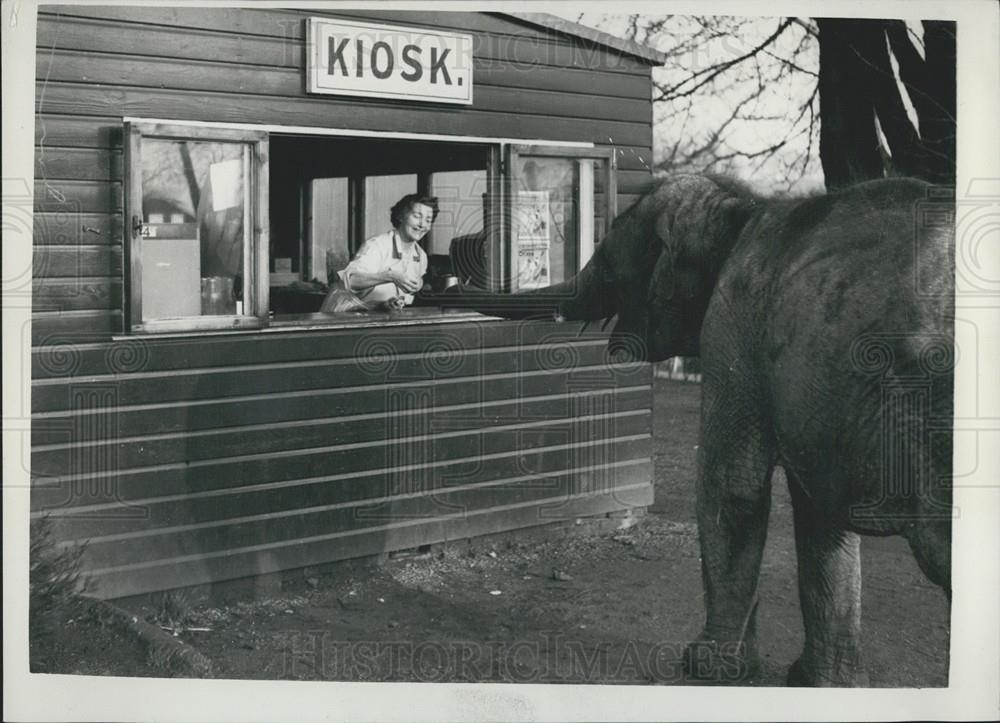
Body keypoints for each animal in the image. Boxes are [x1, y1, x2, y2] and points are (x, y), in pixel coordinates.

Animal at [444, 173, 952, 688]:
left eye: (609, 258)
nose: (448, 271)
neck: (740, 209)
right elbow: (819, 513)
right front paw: (821, 683)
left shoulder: (733, 323)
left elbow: (733, 483)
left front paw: (706, 668)